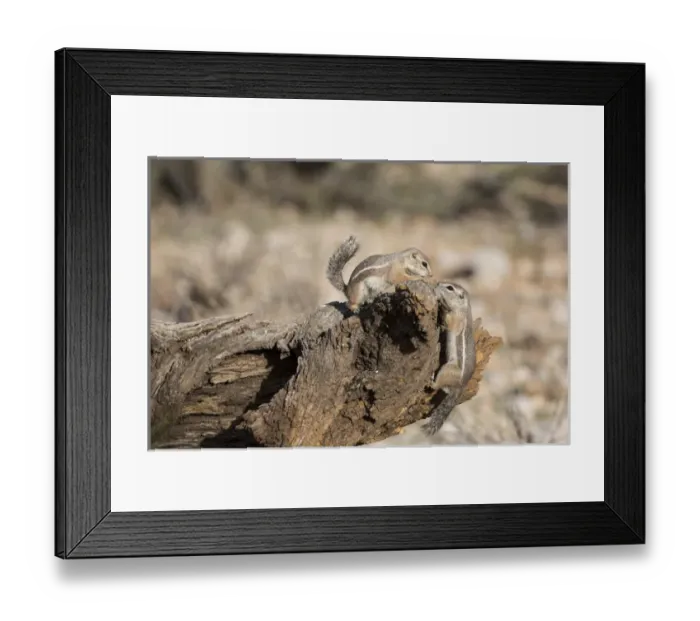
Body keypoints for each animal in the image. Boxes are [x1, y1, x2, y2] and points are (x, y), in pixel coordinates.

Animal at [423, 281, 477, 436]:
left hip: (447, 369)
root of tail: (460, 387)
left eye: (450, 288)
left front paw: (441, 303)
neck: (463, 309)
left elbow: (448, 322)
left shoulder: (456, 319)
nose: (437, 284)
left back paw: (431, 379)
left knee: (436, 385)